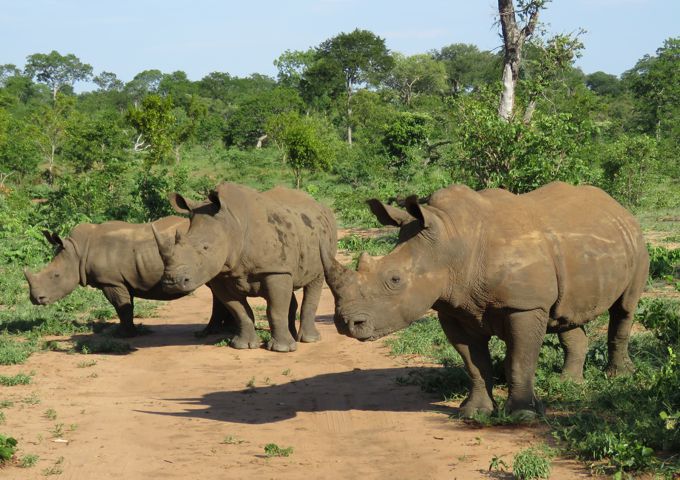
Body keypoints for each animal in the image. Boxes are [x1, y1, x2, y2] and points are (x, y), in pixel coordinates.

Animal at [24, 216, 234, 337]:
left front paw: (122, 335)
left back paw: (211, 332)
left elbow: (121, 307)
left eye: (56, 275)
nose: (35, 299)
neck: (78, 252)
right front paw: (129, 331)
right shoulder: (120, 281)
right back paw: (222, 330)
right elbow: (126, 306)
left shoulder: (112, 281)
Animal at [152, 182, 337, 352]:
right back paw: (292, 335)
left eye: (205, 248)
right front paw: (243, 346)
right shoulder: (222, 275)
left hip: (323, 237)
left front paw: (281, 349)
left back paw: (309, 340)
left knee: (316, 280)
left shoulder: (273, 269)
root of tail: (319, 205)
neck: (232, 225)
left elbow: (275, 309)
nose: (171, 282)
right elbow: (240, 311)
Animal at [321, 182, 649, 418]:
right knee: (567, 315)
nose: (347, 323)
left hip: (636, 240)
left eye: (395, 280)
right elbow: (474, 363)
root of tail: (618, 207)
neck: (451, 242)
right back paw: (568, 384)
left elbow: (519, 360)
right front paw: (473, 414)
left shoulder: (525, 306)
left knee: (624, 309)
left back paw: (618, 376)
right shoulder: (454, 309)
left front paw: (522, 416)